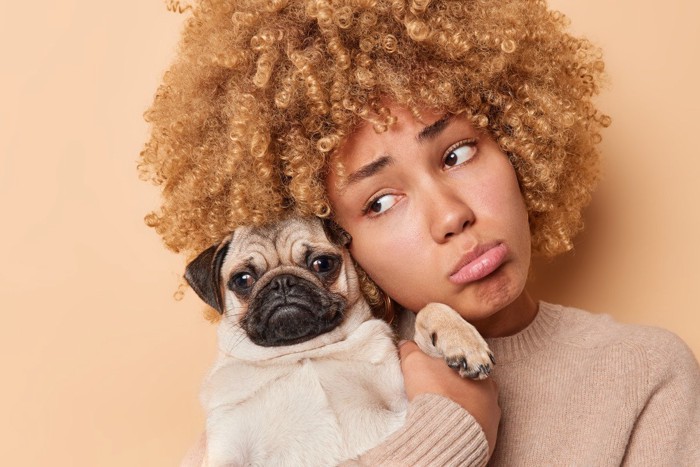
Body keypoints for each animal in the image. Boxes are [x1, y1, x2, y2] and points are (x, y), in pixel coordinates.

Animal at [185, 217, 492, 467]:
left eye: (322, 264)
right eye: (243, 280)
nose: (282, 282)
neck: (304, 352)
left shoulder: (399, 400)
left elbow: (430, 309)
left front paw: (462, 341)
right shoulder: (228, 448)